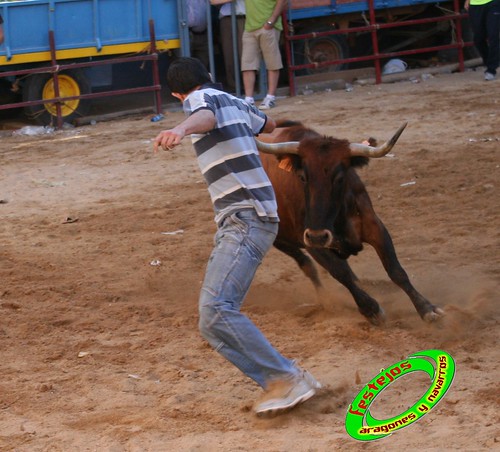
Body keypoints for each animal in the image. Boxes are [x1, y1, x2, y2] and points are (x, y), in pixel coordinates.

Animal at [256, 120, 444, 324]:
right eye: (303, 177)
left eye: (339, 177)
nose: (318, 236)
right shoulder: (311, 241)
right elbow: (341, 273)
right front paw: (371, 309)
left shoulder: (374, 226)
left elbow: (395, 270)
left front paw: (427, 308)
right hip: (279, 238)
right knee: (307, 265)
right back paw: (328, 301)